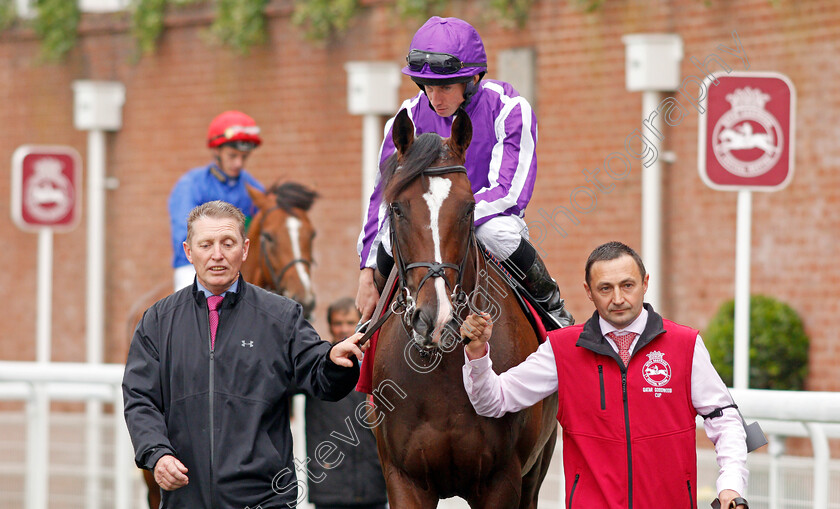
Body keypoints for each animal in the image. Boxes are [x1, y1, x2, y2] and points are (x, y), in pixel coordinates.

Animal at [370, 109, 556, 506]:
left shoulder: (503, 479)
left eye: (468, 207)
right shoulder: (403, 478)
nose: (434, 319)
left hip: (537, 469)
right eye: (396, 207)